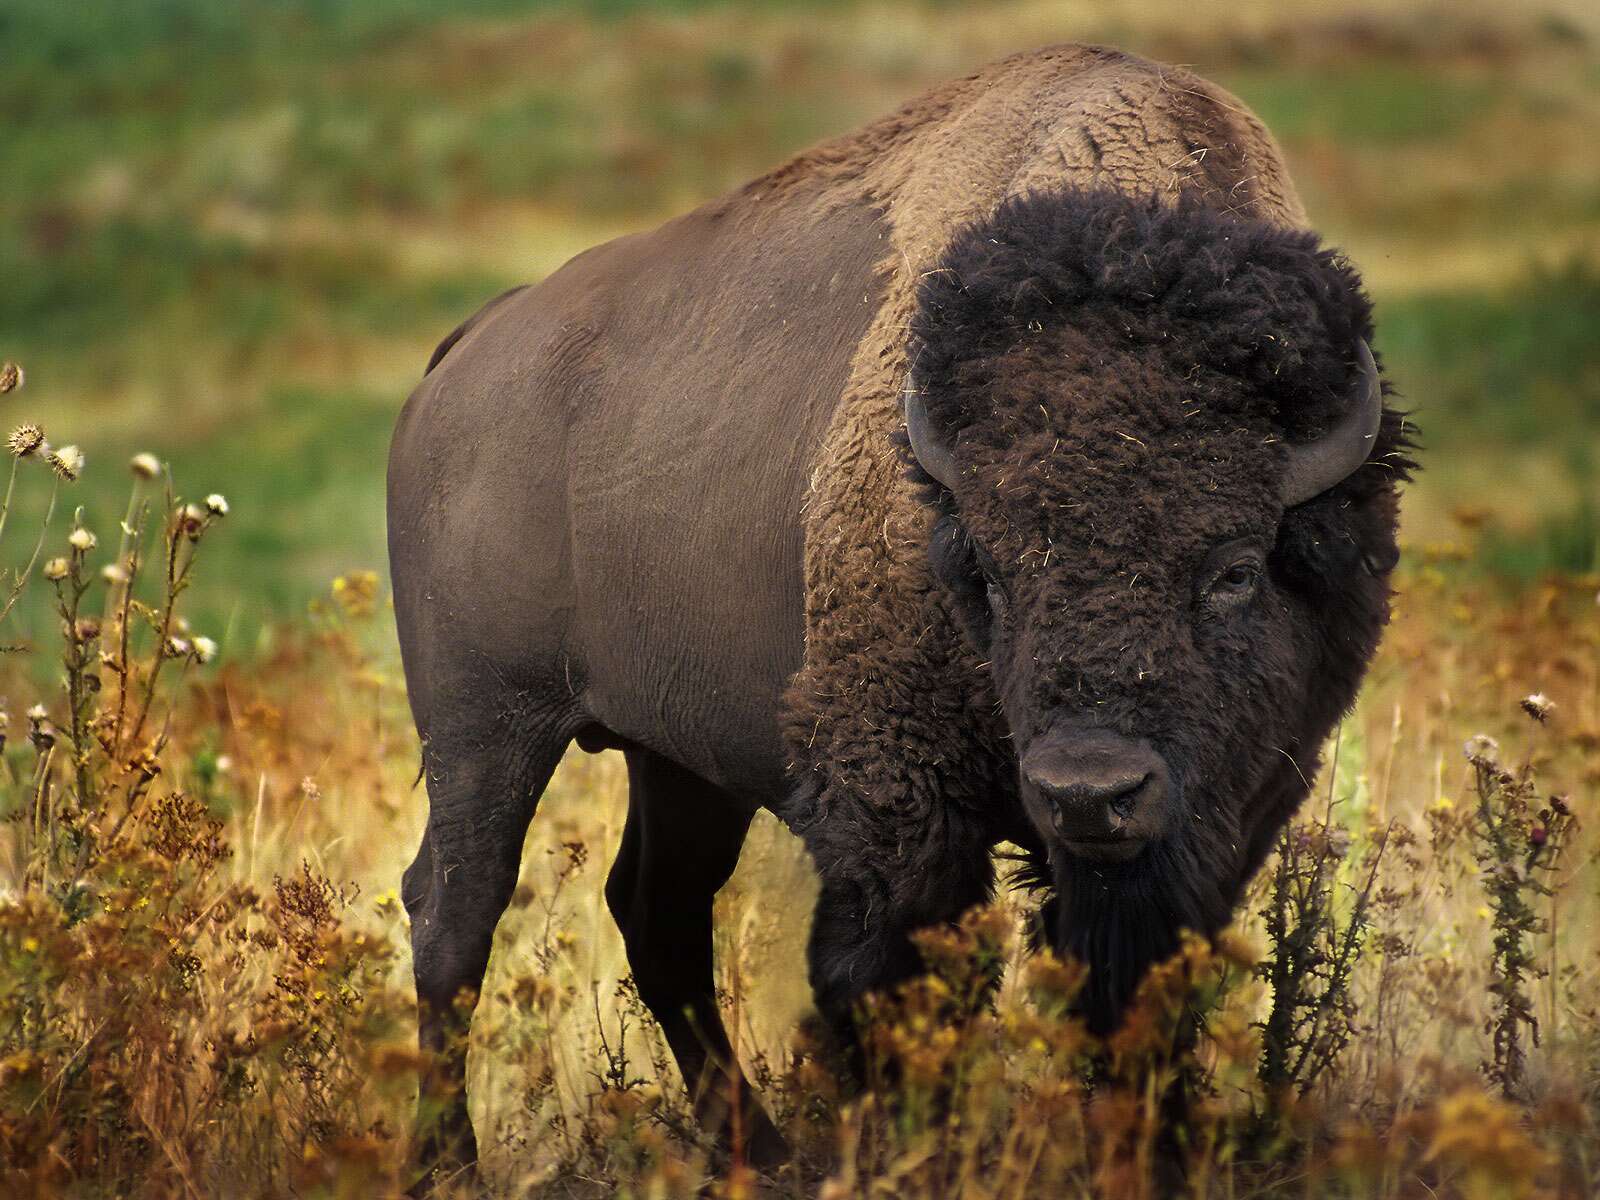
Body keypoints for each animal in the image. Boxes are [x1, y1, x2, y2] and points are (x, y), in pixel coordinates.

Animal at [387, 40, 1414, 1184]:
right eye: (991, 572)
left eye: (1235, 568)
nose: (1088, 792)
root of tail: (470, 349)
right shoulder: (897, 800)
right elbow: (889, 984)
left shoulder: (1223, 814)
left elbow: (1137, 991)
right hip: (484, 727)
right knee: (455, 911)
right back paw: (451, 1166)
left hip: (679, 756)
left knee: (656, 913)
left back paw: (760, 1156)